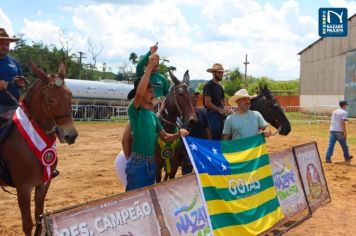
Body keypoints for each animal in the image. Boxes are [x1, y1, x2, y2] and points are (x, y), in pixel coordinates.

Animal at [0, 60, 78, 234]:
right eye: (50, 100)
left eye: (70, 95)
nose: (71, 135)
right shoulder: (23, 187)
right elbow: (28, 224)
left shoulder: (43, 183)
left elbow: (39, 218)